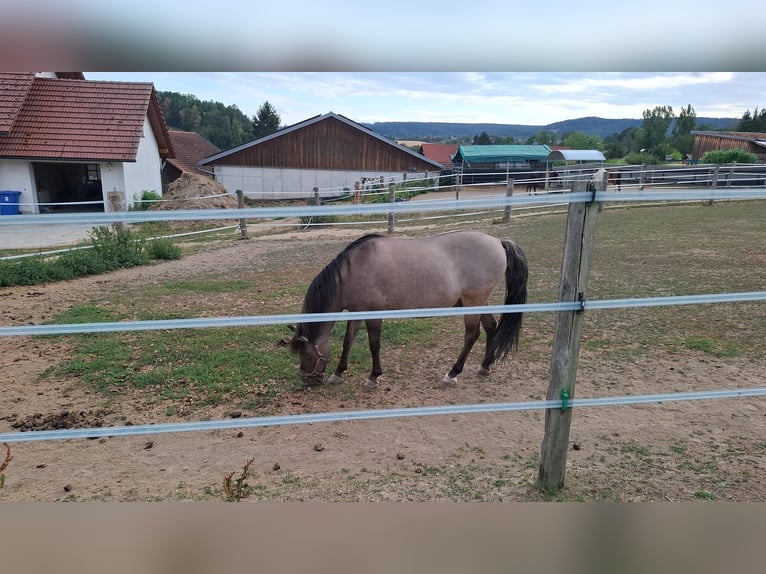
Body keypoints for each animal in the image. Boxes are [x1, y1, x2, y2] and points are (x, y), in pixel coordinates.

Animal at [282, 230, 528, 389]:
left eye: (307, 355)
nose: (307, 380)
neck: (354, 271)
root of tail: (498, 241)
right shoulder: (356, 312)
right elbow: (347, 342)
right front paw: (338, 373)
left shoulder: (373, 315)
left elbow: (374, 345)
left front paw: (373, 377)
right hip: (478, 301)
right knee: (491, 328)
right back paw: (485, 366)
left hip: (472, 302)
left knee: (472, 334)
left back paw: (452, 374)